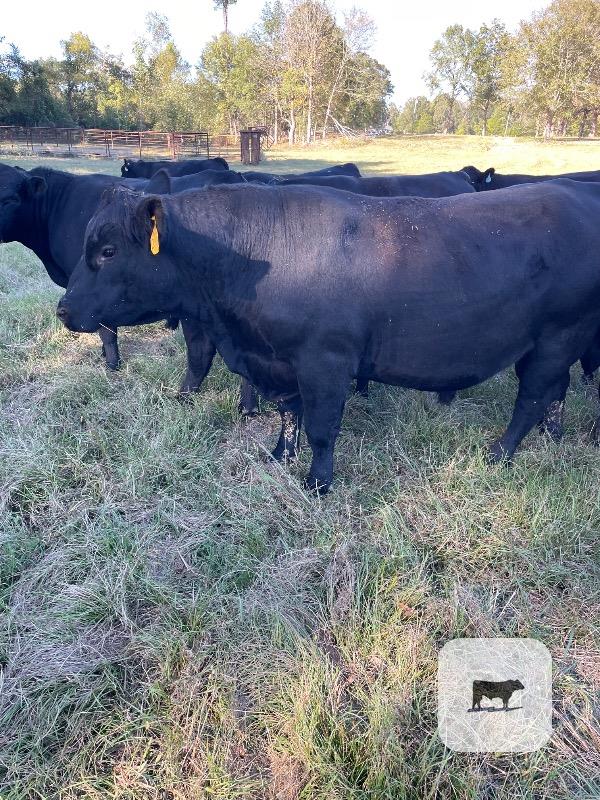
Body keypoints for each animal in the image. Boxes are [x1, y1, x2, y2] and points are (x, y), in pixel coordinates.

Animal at [57, 180, 600, 494]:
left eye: (108, 250)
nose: (63, 309)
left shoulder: (325, 360)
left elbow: (320, 425)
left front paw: (317, 483)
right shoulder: (279, 359)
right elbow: (288, 413)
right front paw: (280, 455)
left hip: (558, 335)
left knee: (532, 397)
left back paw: (499, 455)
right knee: (552, 393)